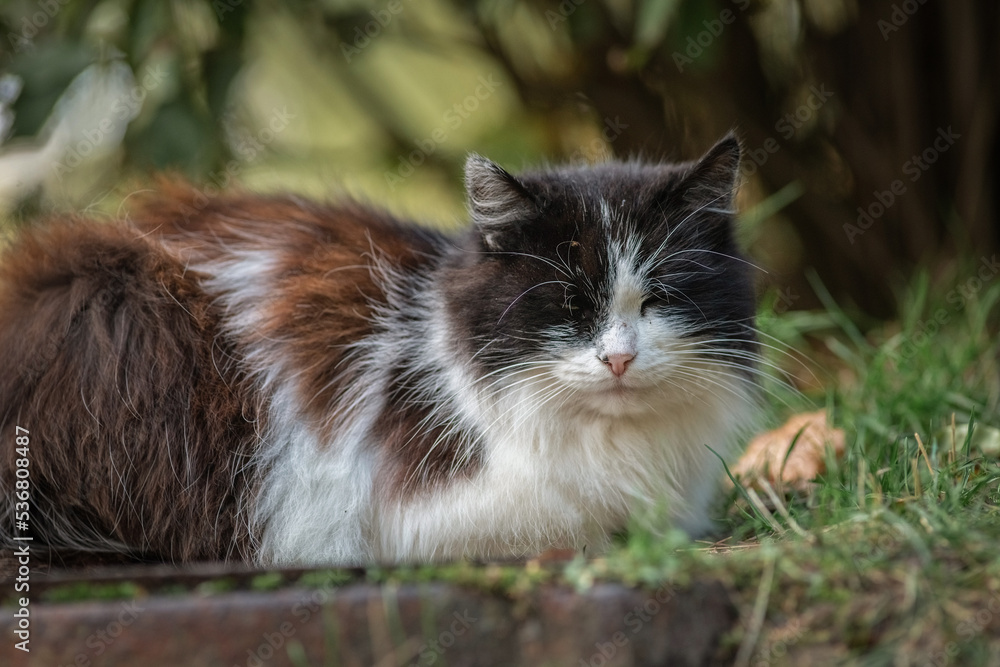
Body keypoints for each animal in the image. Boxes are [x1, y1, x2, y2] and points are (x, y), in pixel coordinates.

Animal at [0, 137, 756, 568]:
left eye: (658, 299)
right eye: (570, 306)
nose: (619, 359)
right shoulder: (407, 513)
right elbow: (582, 524)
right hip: (122, 306)